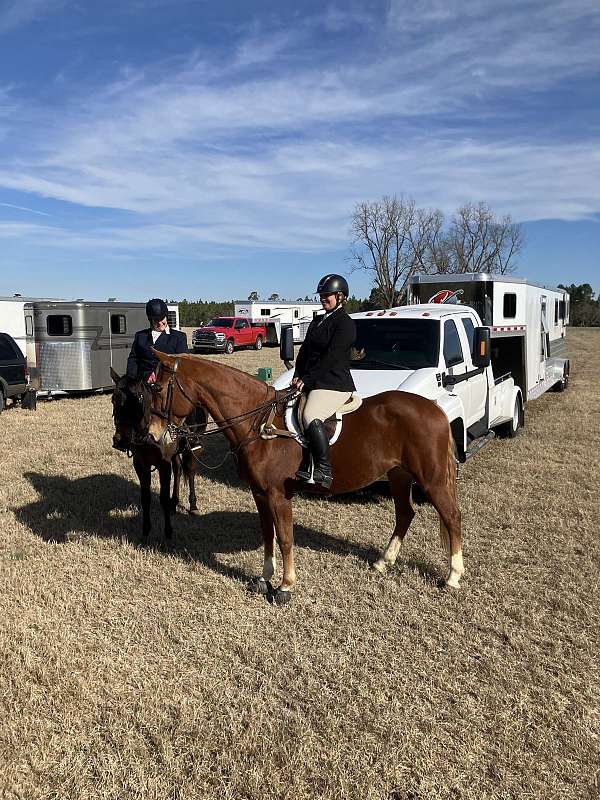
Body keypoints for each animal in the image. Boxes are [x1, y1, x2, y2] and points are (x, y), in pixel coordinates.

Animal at [110, 368, 206, 544]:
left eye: (137, 400)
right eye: (113, 399)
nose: (121, 439)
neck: (147, 432)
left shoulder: (163, 465)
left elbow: (163, 498)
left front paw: (168, 533)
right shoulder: (140, 464)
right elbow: (145, 497)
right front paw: (146, 531)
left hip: (194, 447)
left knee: (190, 471)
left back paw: (193, 505)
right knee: (178, 469)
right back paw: (174, 503)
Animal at [148, 352, 462, 600]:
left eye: (160, 389)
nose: (152, 436)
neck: (258, 424)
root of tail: (434, 408)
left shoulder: (278, 495)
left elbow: (285, 538)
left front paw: (286, 586)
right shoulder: (259, 493)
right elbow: (268, 535)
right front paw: (264, 579)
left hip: (431, 479)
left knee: (450, 516)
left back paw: (453, 576)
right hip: (399, 475)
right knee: (405, 514)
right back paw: (384, 562)